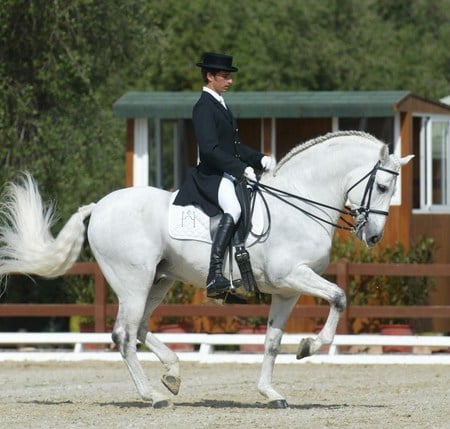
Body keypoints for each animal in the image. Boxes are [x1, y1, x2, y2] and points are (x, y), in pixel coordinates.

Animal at [0, 130, 414, 408]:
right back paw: (152, 395)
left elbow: (272, 340)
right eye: (381, 186)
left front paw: (271, 392)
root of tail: (99, 206)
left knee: (141, 329)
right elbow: (339, 297)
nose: (374, 236)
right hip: (133, 281)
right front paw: (309, 347)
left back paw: (172, 374)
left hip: (159, 281)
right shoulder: (292, 276)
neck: (298, 204)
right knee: (124, 334)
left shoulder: (286, 291)